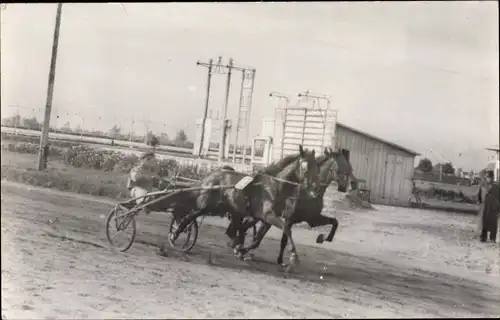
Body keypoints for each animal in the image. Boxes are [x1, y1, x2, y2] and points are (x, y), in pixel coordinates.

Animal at [171, 145, 320, 270]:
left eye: (316, 167)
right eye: (306, 166)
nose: (314, 189)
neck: (274, 185)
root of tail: (210, 176)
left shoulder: (263, 217)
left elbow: (254, 237)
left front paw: (241, 249)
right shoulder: (267, 215)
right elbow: (286, 230)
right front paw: (294, 257)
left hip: (230, 209)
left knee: (229, 230)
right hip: (206, 205)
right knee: (190, 216)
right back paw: (175, 233)